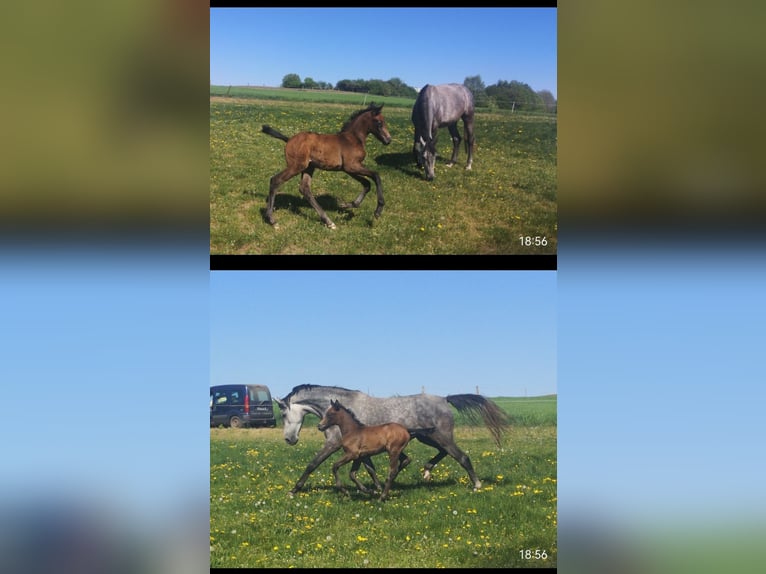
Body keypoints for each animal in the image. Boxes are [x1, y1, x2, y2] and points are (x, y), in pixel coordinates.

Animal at [260, 103, 392, 230]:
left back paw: (328, 221)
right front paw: (378, 210)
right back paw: (272, 220)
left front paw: (348, 205)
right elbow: (376, 175)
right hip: (297, 166)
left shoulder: (349, 169)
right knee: (276, 180)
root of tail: (289, 139)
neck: (353, 138)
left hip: (309, 168)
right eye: (379, 123)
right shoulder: (351, 166)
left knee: (304, 188)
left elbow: (367, 183)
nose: (388, 140)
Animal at [276, 384, 510, 498]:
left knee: (462, 456)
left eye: (284, 415)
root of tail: (445, 399)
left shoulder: (334, 444)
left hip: (439, 436)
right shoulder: (361, 451)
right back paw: (426, 471)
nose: (289, 439)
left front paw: (294, 490)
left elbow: (312, 464)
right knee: (444, 453)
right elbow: (369, 470)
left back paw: (476, 485)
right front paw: (376, 489)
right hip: (428, 437)